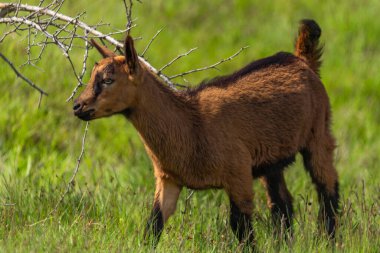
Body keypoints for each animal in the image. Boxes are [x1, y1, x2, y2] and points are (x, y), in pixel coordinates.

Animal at [73, 19, 338, 249]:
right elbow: (153, 224)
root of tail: (302, 60)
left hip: (318, 134)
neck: (192, 124)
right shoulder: (168, 179)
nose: (77, 106)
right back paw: (284, 244)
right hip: (271, 160)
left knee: (328, 190)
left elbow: (240, 226)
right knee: (282, 204)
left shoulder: (238, 174)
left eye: (108, 80)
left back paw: (330, 241)